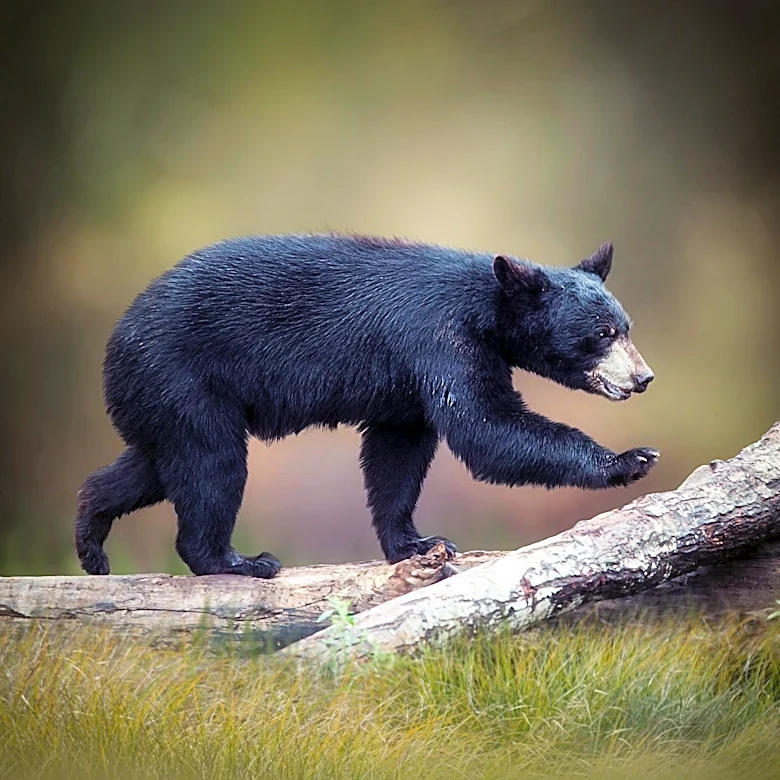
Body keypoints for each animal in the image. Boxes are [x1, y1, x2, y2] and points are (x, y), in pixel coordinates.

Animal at [75, 233, 657, 578]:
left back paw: (92, 541)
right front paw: (629, 459)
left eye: (627, 327)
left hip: (160, 398)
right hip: (185, 378)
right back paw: (237, 561)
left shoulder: (406, 382)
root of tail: (114, 345)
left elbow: (397, 453)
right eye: (603, 334)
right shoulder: (438, 339)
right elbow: (486, 426)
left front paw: (416, 544)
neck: (486, 308)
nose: (644, 377)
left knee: (155, 465)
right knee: (212, 463)